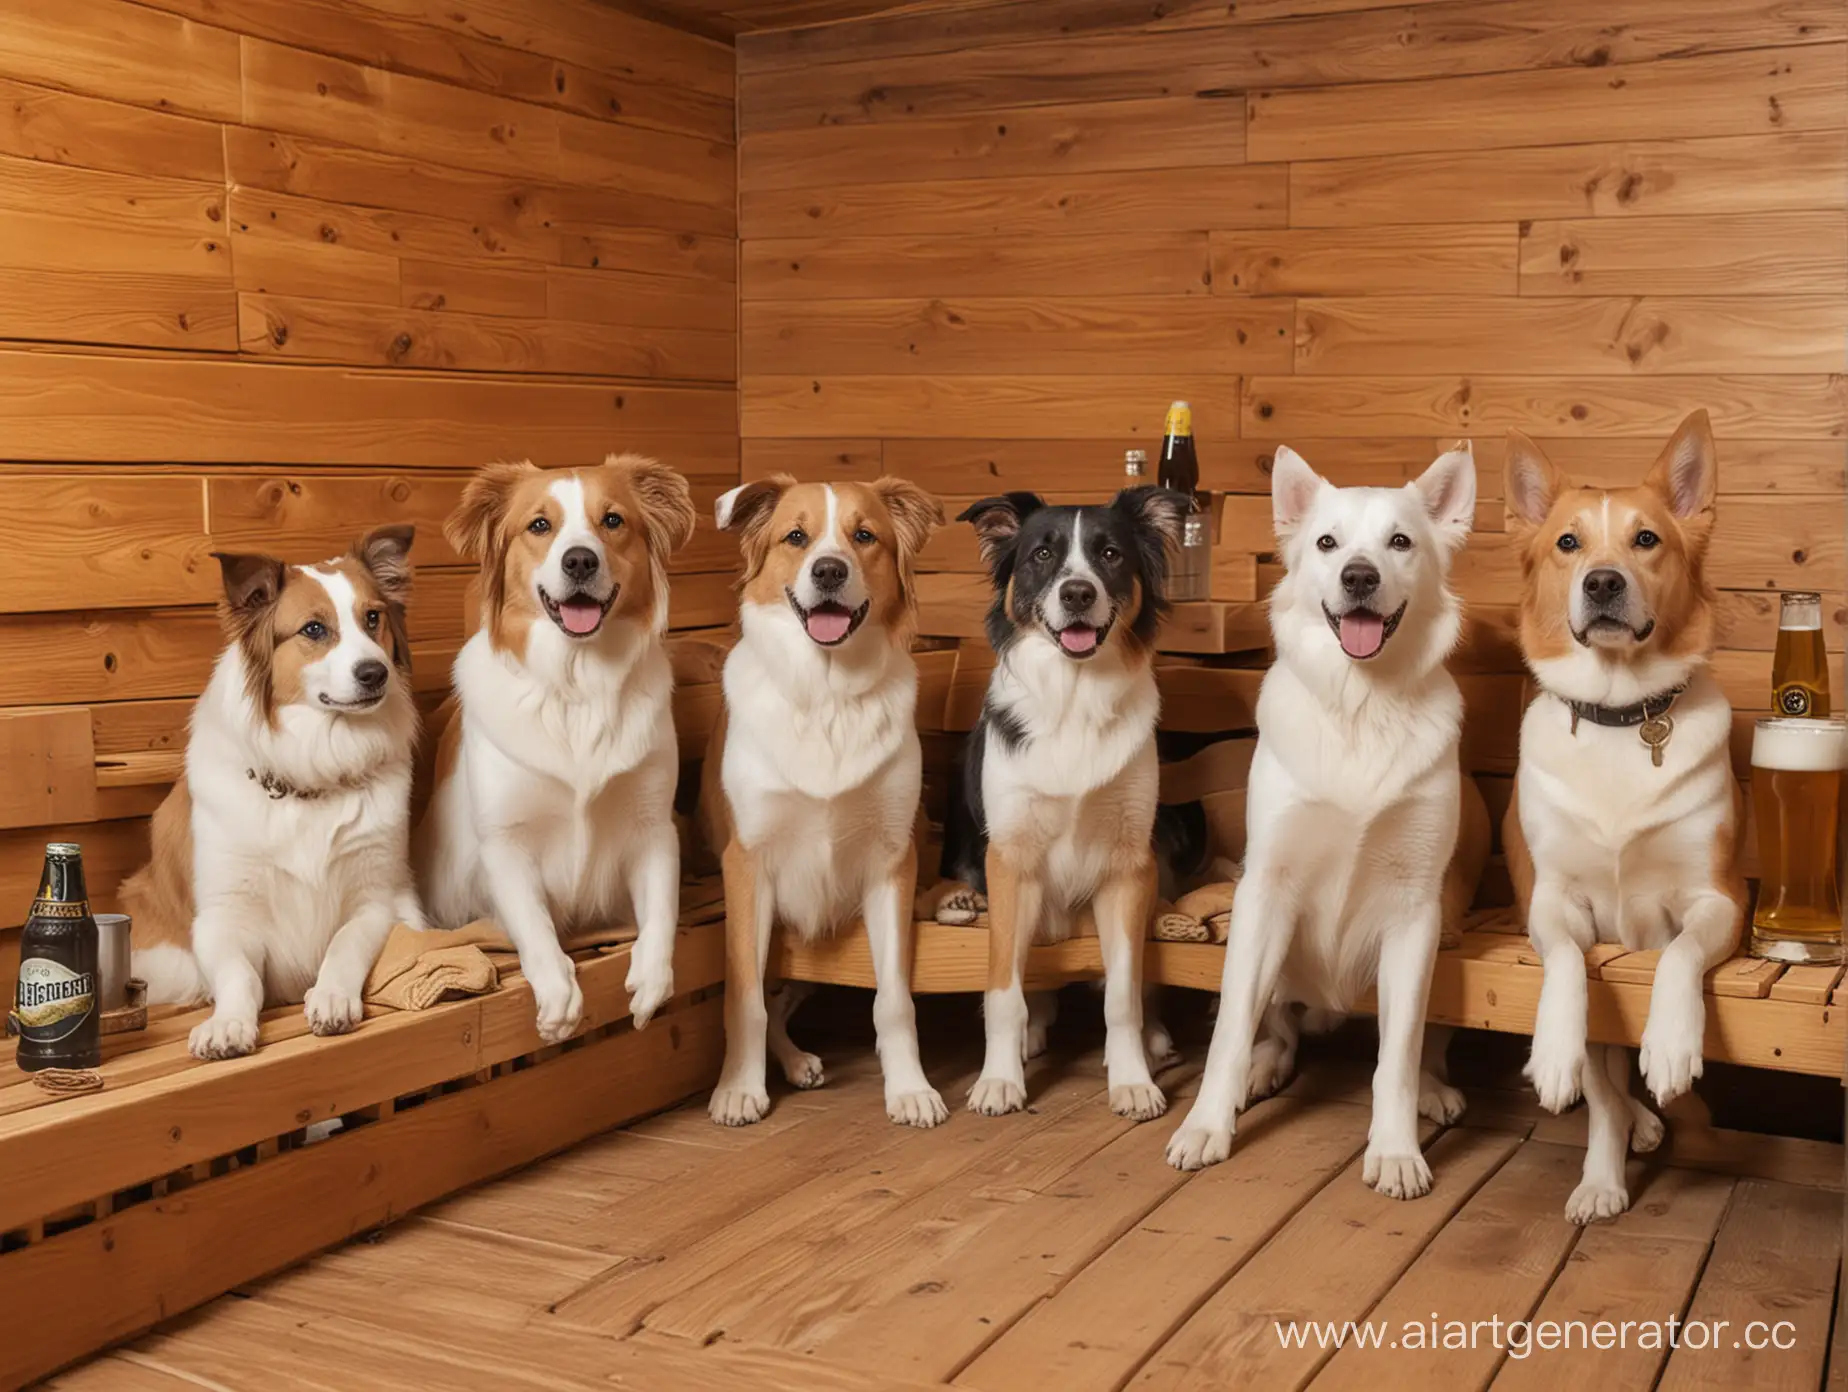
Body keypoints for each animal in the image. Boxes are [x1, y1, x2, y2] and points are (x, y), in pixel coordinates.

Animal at [126, 525, 423, 1057]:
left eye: (373, 618)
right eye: (314, 629)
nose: (376, 674)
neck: (312, 771)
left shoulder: (378, 899)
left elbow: (344, 944)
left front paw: (331, 996)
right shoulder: (222, 916)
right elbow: (240, 975)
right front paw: (227, 1024)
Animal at [419, 456, 698, 1042]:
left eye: (612, 520)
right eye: (540, 525)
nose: (580, 560)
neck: (578, 683)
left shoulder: (653, 827)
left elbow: (662, 908)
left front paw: (653, 981)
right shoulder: (505, 841)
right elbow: (533, 922)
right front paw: (557, 993)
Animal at [698, 473, 946, 1123]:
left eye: (865, 536)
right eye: (796, 536)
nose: (829, 570)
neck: (827, 692)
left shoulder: (892, 864)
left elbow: (894, 999)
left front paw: (909, 1088)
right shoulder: (747, 865)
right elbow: (746, 997)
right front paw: (739, 1087)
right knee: (772, 1001)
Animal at [1167, 447, 1485, 1197]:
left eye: (1399, 542)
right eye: (1327, 543)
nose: (1359, 577)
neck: (1361, 705)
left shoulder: (1415, 911)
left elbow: (1397, 1057)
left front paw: (1395, 1149)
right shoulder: (1264, 892)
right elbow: (1228, 1032)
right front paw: (1207, 1124)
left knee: (1421, 1047)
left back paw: (1434, 1091)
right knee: (1277, 1030)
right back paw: (1261, 1070)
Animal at [1500, 410, 1744, 1212]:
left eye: (1646, 540)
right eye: (1567, 543)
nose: (1602, 582)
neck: (1616, 716)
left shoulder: (1718, 900)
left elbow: (1677, 954)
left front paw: (1671, 1043)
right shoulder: (1551, 901)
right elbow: (1568, 968)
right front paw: (1554, 1054)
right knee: (1605, 1084)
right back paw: (1610, 1161)